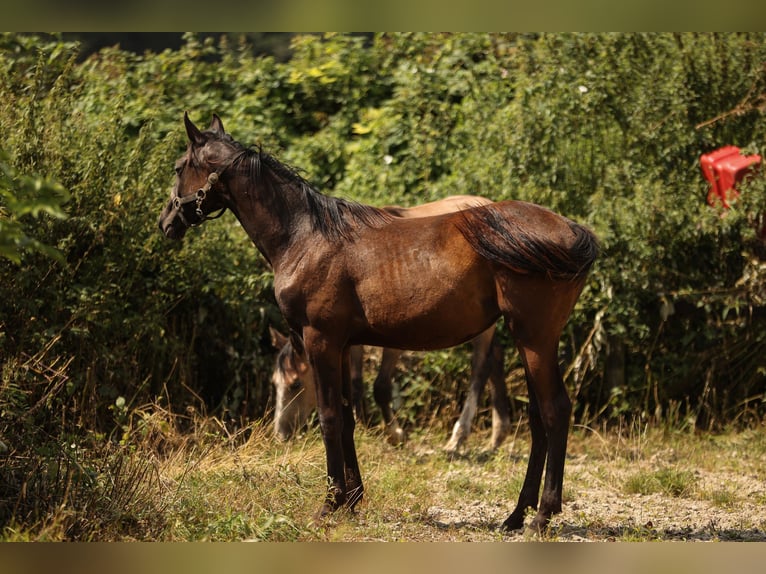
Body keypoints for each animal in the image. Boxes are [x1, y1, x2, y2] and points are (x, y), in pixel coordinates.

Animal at [158, 113, 600, 536]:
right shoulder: (343, 345)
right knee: (537, 418)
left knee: (554, 410)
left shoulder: (320, 340)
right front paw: (352, 500)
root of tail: (572, 231)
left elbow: (329, 417)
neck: (304, 236)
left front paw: (330, 504)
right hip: (527, 340)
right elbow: (348, 415)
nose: (166, 222)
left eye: (180, 166)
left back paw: (542, 514)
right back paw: (515, 515)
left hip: (535, 339)